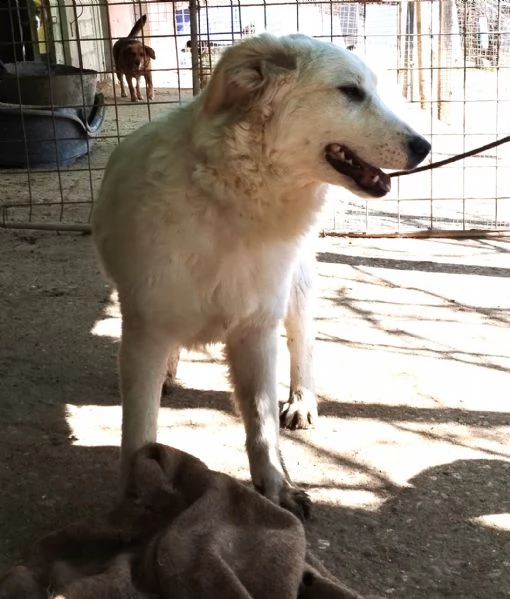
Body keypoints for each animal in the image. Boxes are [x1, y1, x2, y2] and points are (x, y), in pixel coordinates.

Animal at [92, 34, 430, 520]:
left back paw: (302, 402)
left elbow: (262, 422)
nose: (424, 147)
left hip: (297, 287)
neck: (231, 201)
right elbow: (137, 433)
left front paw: (275, 488)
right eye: (351, 92)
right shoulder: (144, 331)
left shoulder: (256, 330)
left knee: (303, 344)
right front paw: (135, 501)